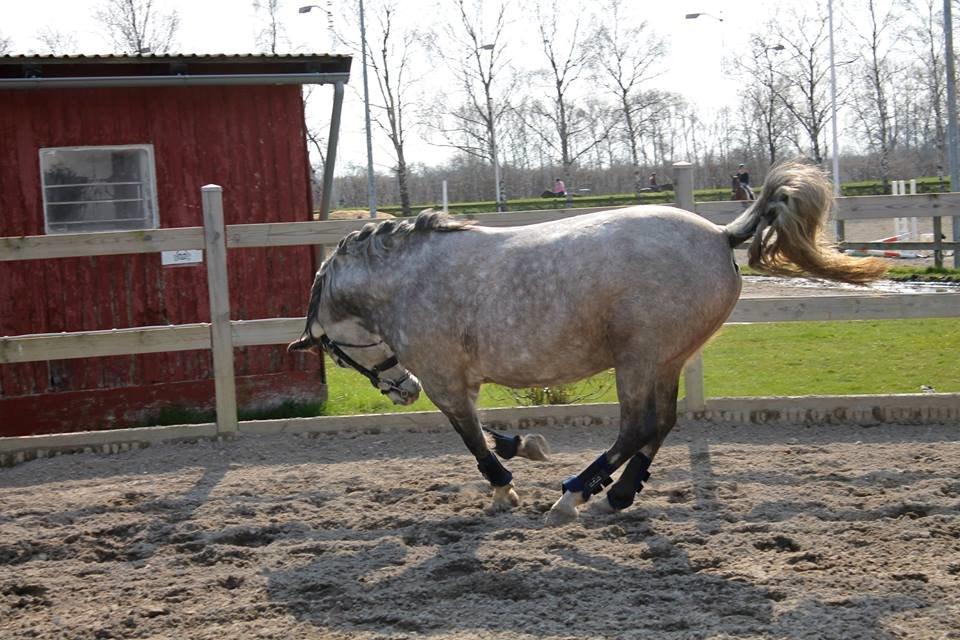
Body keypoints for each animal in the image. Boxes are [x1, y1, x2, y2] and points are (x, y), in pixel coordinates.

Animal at [290, 161, 884, 524]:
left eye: (335, 353)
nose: (401, 390)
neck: (409, 280)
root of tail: (721, 235)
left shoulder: (444, 379)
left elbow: (472, 439)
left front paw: (505, 487)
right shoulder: (458, 380)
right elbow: (487, 431)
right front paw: (524, 445)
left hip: (639, 359)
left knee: (639, 426)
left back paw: (575, 494)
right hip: (664, 360)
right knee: (660, 424)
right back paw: (616, 494)